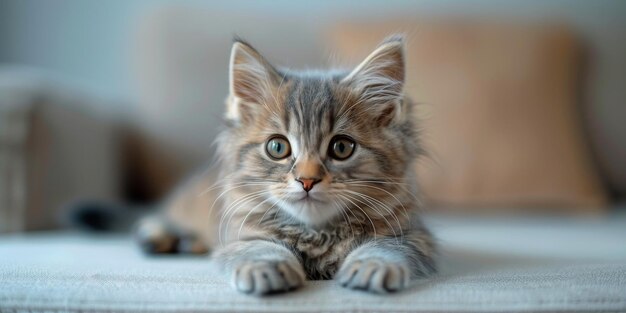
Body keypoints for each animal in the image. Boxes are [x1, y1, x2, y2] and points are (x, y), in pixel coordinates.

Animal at [133, 35, 434, 294]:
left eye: (342, 148)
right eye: (277, 147)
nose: (307, 180)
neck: (316, 233)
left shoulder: (413, 235)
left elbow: (386, 247)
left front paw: (372, 266)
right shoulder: (239, 234)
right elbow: (259, 247)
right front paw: (267, 268)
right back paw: (161, 239)